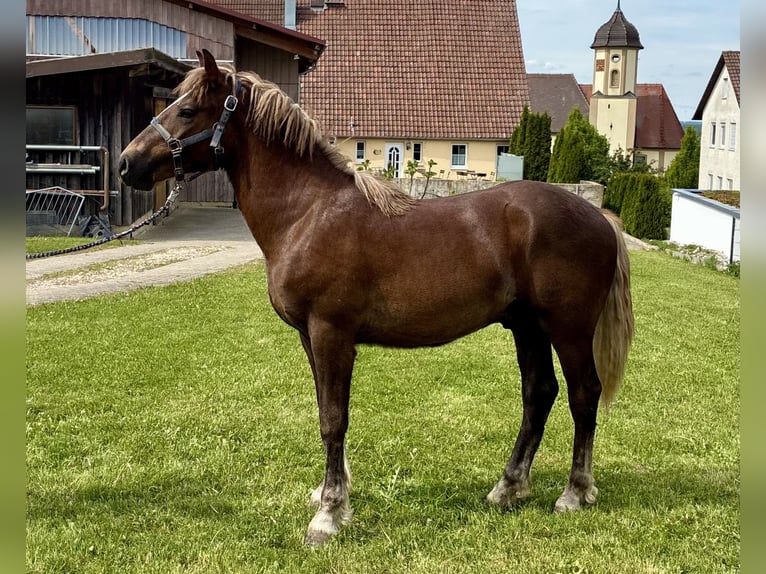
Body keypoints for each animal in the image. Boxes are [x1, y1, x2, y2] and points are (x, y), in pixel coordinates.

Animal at [119, 49, 634, 546]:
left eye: (187, 110)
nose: (127, 164)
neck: (309, 211)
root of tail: (600, 217)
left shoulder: (331, 333)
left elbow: (334, 419)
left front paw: (328, 516)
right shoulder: (311, 338)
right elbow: (326, 412)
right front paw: (332, 493)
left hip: (568, 329)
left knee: (583, 394)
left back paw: (575, 492)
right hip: (526, 326)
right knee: (539, 393)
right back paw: (508, 487)